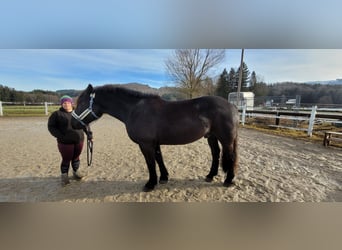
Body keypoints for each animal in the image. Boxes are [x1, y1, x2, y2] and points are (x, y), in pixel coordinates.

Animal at [71, 84, 239, 191]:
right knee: (216, 153)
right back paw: (210, 176)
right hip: (211, 136)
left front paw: (150, 184)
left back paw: (228, 181)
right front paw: (164, 178)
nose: (72, 123)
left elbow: (150, 163)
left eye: (82, 103)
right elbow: (159, 159)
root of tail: (232, 106)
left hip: (226, 139)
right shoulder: (155, 143)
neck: (135, 110)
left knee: (230, 156)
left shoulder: (145, 144)